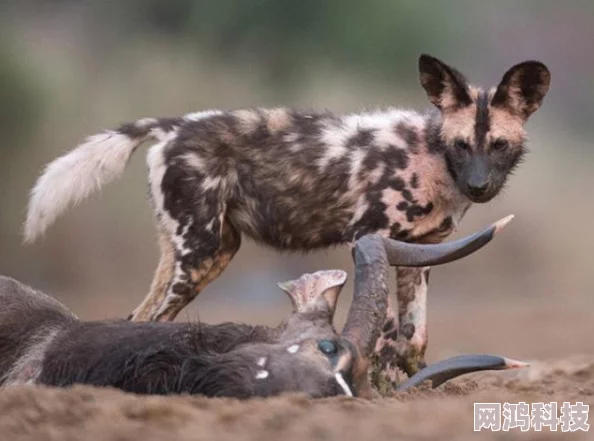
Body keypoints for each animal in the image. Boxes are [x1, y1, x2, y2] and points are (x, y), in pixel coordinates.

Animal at [24, 54, 552, 382]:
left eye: (498, 145)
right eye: (460, 145)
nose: (479, 187)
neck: (432, 159)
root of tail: (175, 126)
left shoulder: (421, 254)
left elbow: (413, 339)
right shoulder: (372, 237)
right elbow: (383, 336)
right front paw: (376, 392)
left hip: (209, 252)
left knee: (139, 317)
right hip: (197, 256)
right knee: (148, 317)